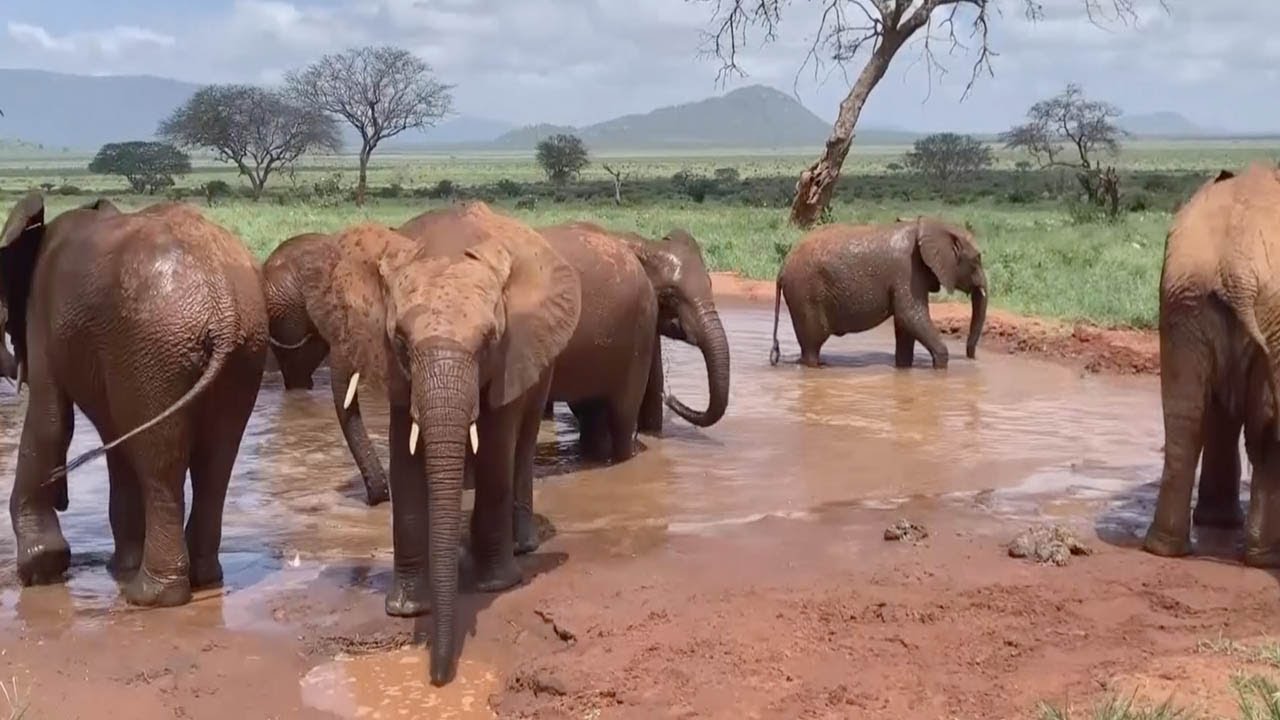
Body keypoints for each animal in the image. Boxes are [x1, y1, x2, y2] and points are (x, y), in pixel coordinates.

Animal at [1, 193, 268, 607]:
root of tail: (222, 303)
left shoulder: (43, 317)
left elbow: (50, 421)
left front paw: (39, 570)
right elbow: (114, 439)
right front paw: (116, 565)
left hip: (157, 345)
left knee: (161, 461)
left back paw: (149, 597)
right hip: (241, 348)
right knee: (216, 458)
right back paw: (201, 578)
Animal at [311, 202, 580, 685]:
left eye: (490, 340)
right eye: (400, 341)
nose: (439, 679)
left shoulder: (511, 354)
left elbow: (494, 449)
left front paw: (495, 585)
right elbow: (405, 461)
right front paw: (407, 609)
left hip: (543, 358)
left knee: (522, 444)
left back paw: (518, 546)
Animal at [769, 216, 987, 369]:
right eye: (977, 259)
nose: (971, 357)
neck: (930, 225)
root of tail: (782, 268)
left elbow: (905, 325)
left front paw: (904, 370)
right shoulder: (907, 272)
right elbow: (910, 316)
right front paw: (941, 366)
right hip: (805, 295)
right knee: (812, 345)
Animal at [1145, 163, 1280, 565]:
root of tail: (1237, 269)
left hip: (1183, 299)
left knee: (1185, 417)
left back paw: (1166, 548)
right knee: (1265, 431)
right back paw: (1264, 558)